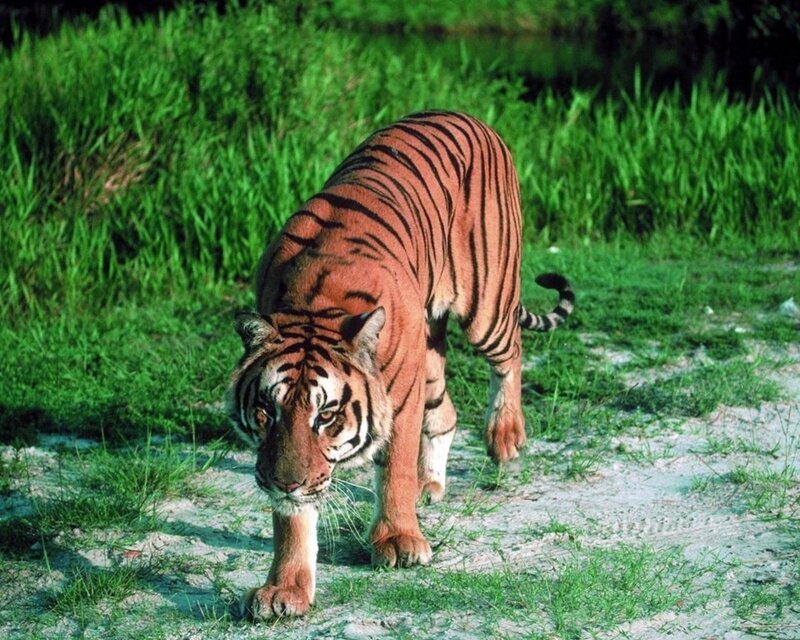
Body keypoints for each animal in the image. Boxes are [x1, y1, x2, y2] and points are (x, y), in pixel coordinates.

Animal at [226, 111, 574, 620]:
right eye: (266, 411)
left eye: (326, 416)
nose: (284, 483)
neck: (314, 304)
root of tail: (467, 115)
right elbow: (294, 517)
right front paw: (284, 590)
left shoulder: (400, 395)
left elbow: (393, 468)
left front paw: (398, 541)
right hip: (429, 347)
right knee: (445, 412)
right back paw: (429, 485)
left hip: (485, 307)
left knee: (511, 352)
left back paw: (505, 436)